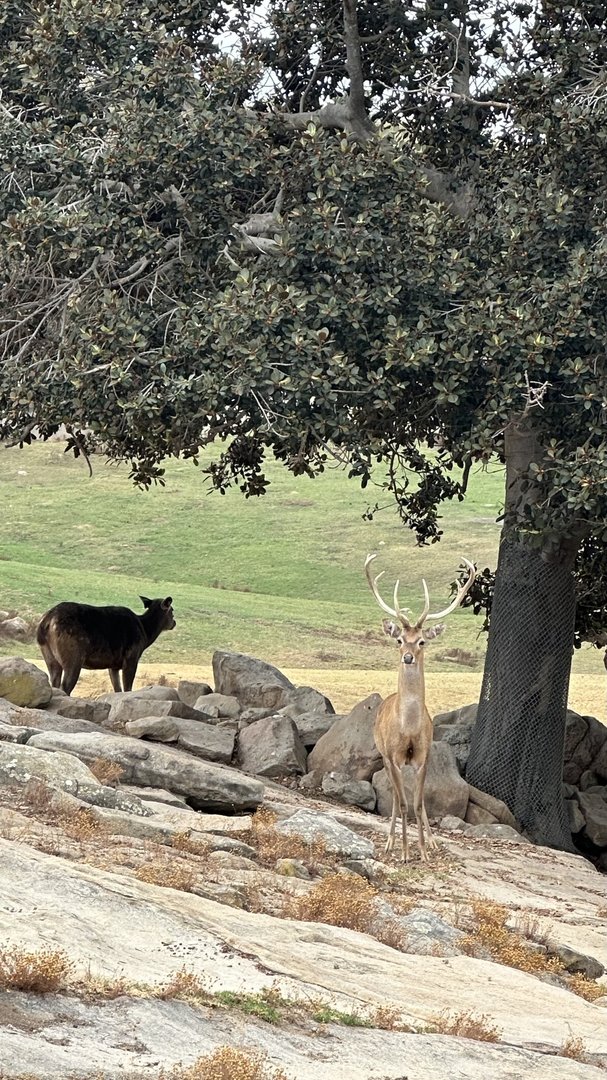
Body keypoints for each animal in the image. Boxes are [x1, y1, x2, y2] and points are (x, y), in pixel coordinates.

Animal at [365, 554, 475, 863]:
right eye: (399, 639)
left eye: (422, 640)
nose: (408, 656)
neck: (409, 729)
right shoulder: (393, 755)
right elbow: (403, 804)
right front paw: (403, 852)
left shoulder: (423, 756)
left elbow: (418, 803)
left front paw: (424, 852)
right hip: (384, 755)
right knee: (394, 798)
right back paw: (390, 842)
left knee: (417, 801)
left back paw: (434, 843)